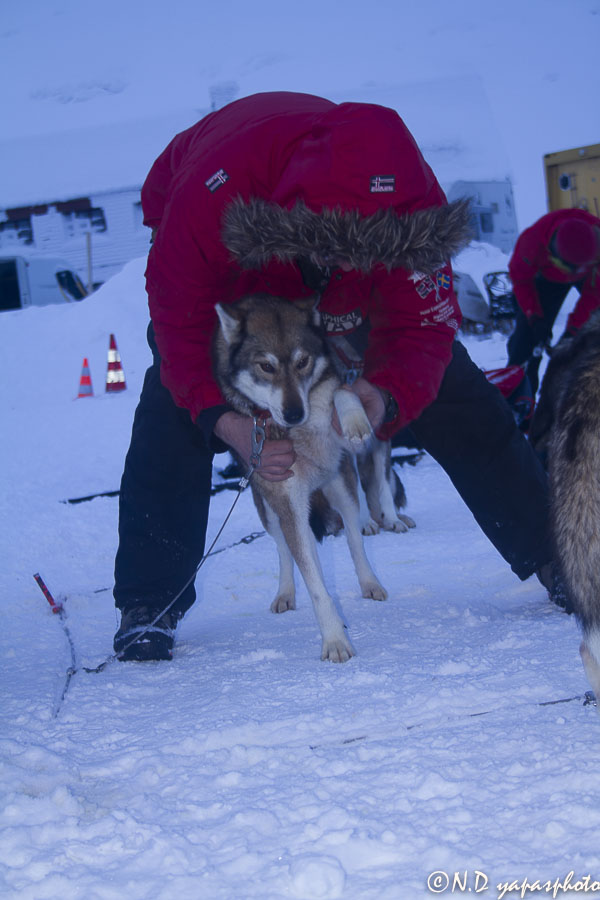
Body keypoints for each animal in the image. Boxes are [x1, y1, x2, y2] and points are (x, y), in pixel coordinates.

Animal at [213, 294, 410, 660]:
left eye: (302, 362)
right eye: (266, 367)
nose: (294, 413)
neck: (297, 433)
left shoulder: (333, 404)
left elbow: (343, 392)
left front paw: (355, 420)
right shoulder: (287, 503)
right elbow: (314, 583)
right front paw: (334, 640)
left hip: (341, 487)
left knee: (354, 538)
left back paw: (370, 581)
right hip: (273, 512)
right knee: (288, 553)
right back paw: (286, 593)